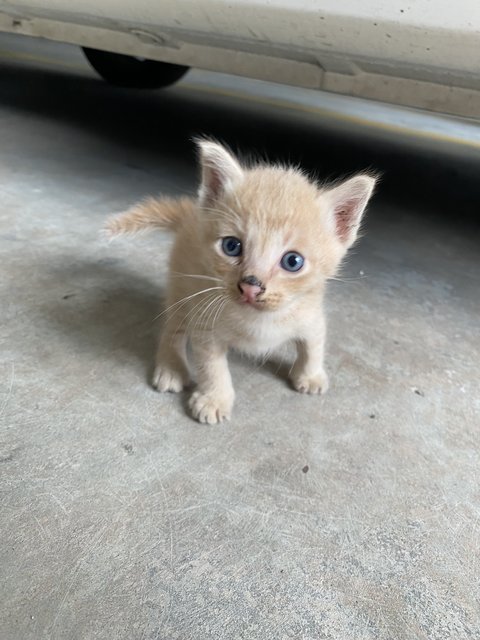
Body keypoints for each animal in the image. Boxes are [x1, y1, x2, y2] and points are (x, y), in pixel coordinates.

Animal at [107, 142, 376, 424]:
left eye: (293, 261)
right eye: (231, 246)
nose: (250, 285)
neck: (261, 320)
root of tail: (193, 213)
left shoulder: (311, 314)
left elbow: (313, 345)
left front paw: (310, 375)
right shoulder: (205, 323)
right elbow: (212, 368)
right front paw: (214, 399)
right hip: (181, 286)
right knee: (173, 328)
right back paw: (171, 367)